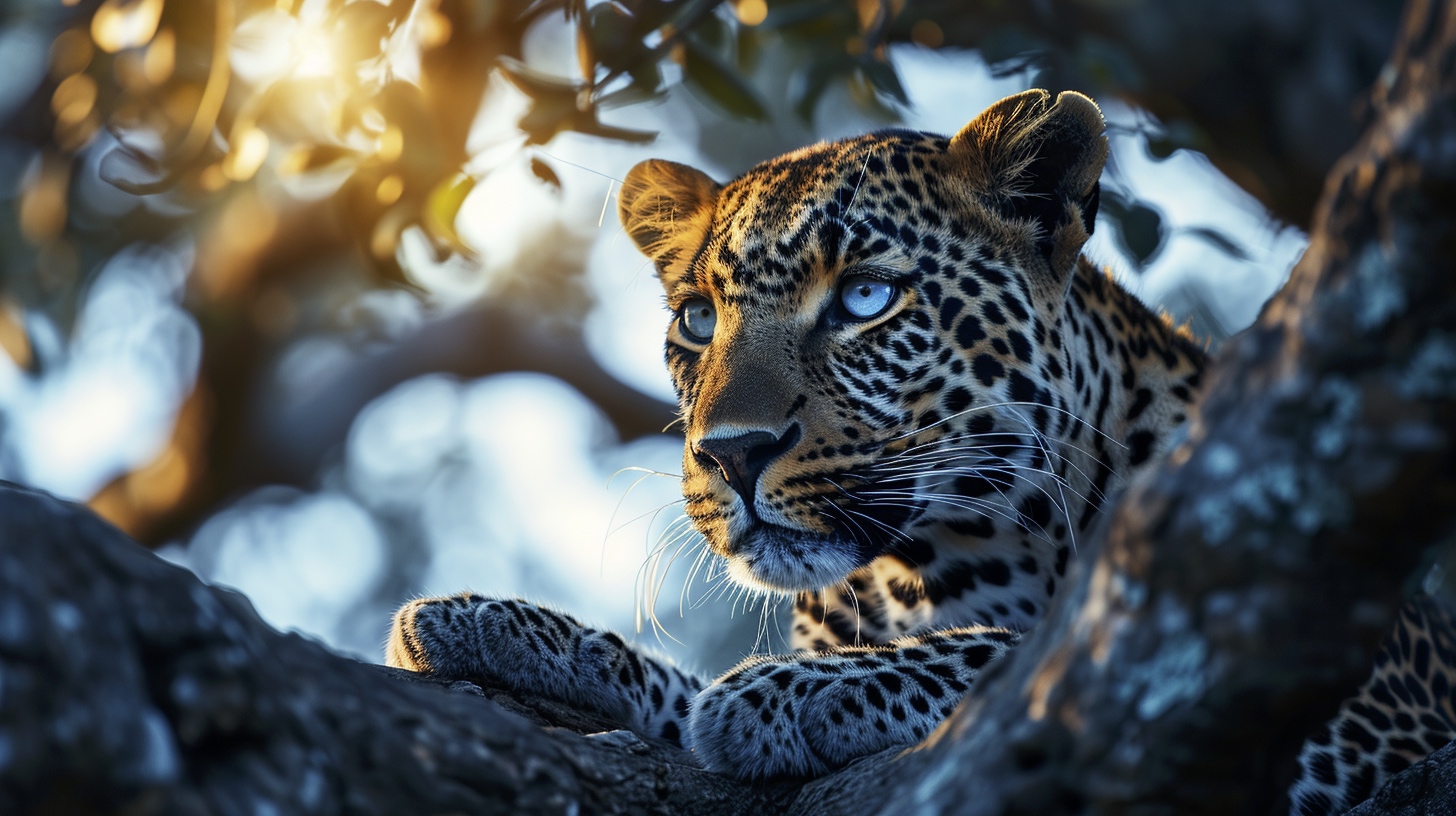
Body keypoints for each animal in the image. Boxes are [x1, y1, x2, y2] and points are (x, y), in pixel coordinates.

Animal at [385, 89, 1456, 814]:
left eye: (865, 297)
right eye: (697, 319)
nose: (732, 456)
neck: (931, 567)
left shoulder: (1359, 700)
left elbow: (1038, 656)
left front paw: (786, 694)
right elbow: (673, 692)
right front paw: (495, 625)